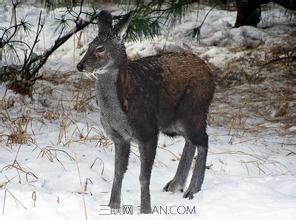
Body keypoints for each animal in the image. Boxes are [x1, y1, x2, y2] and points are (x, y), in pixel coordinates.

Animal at [76, 9, 215, 213]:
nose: (80, 65)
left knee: (203, 140)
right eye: (89, 46)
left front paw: (146, 209)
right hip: (172, 122)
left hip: (194, 110)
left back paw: (192, 191)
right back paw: (175, 184)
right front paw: (113, 206)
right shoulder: (119, 137)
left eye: (100, 48)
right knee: (191, 141)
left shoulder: (148, 132)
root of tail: (209, 71)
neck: (119, 112)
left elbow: (143, 176)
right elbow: (118, 173)